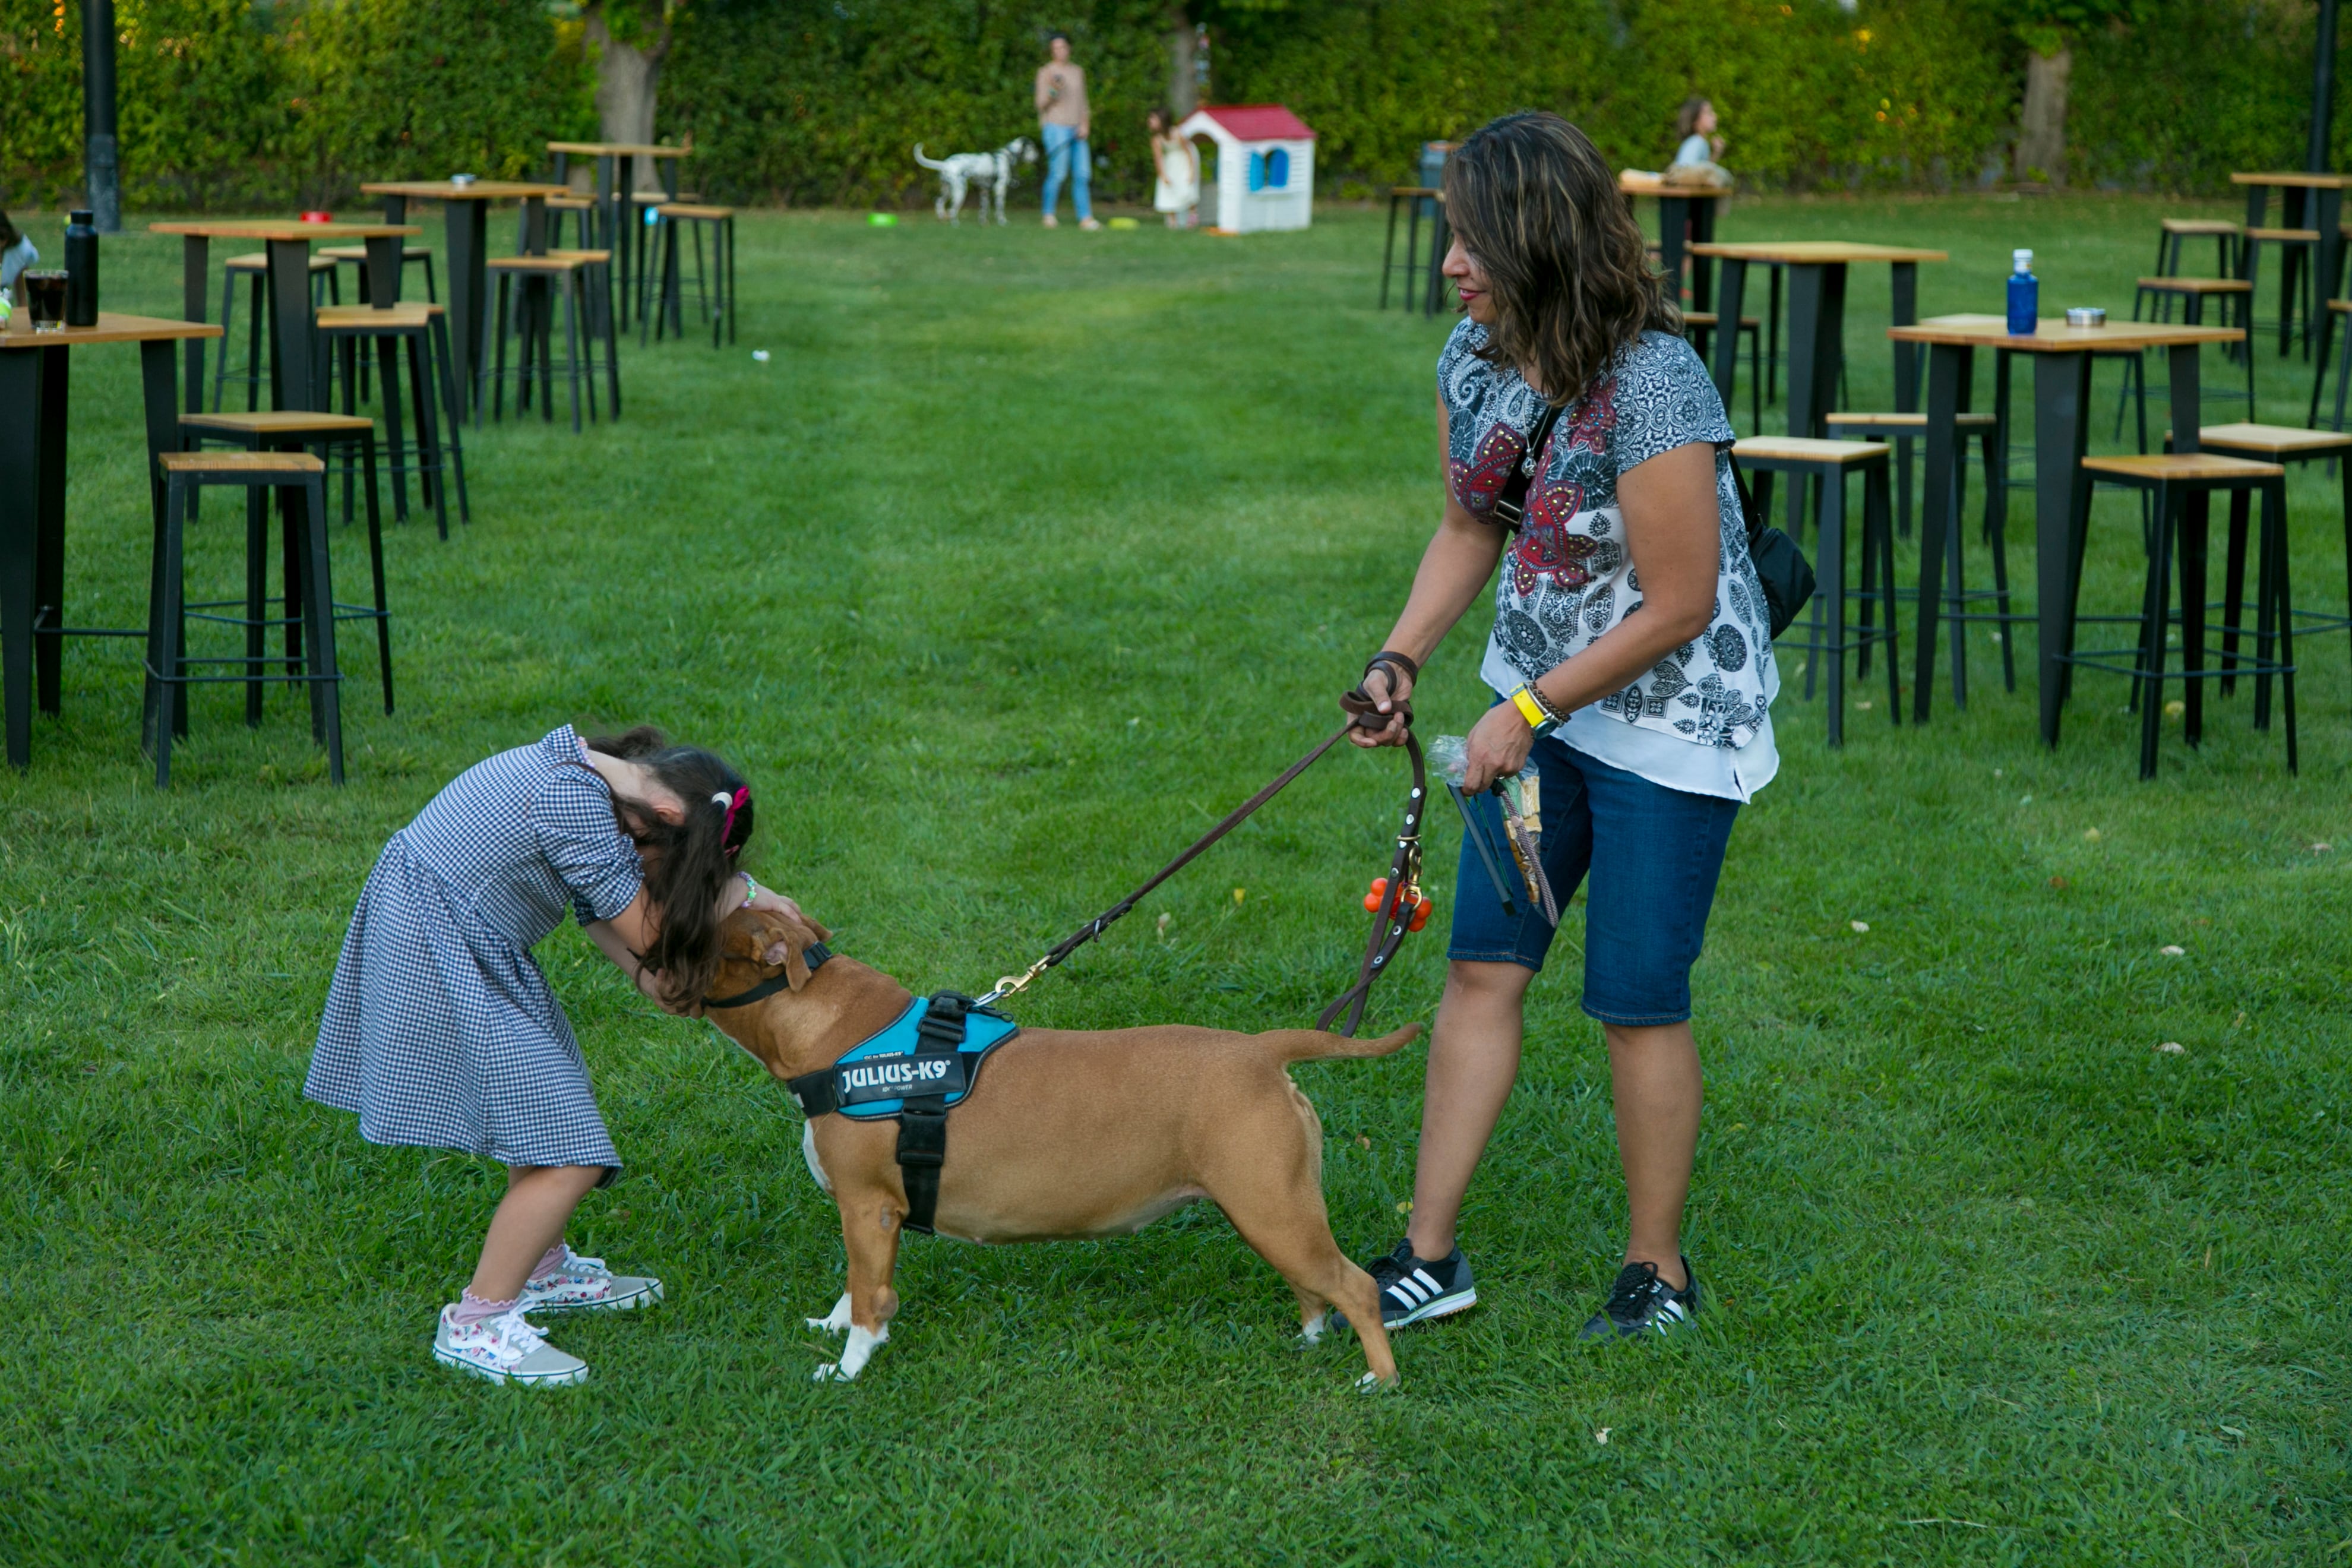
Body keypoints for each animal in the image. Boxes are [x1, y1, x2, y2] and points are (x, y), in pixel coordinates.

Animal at [701, 907, 1411, 1382]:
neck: (836, 1032)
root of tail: (1262, 1051)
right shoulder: (868, 1215)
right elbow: (856, 1285)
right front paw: (833, 1327)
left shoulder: (866, 1208)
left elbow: (870, 1295)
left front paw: (848, 1368)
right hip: (1274, 1213)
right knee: (1313, 1288)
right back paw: (1310, 1342)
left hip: (1273, 1210)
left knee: (1355, 1288)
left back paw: (1379, 1381)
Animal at [912, 138, 1035, 225]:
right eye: (1033, 148)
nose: (1037, 156)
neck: (1006, 156)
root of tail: (946, 164)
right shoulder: (1000, 190)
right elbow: (1000, 209)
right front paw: (1002, 222)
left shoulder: (984, 191)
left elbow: (983, 210)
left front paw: (984, 223)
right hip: (960, 191)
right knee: (952, 210)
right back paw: (955, 224)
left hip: (947, 191)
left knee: (939, 202)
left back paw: (942, 218)